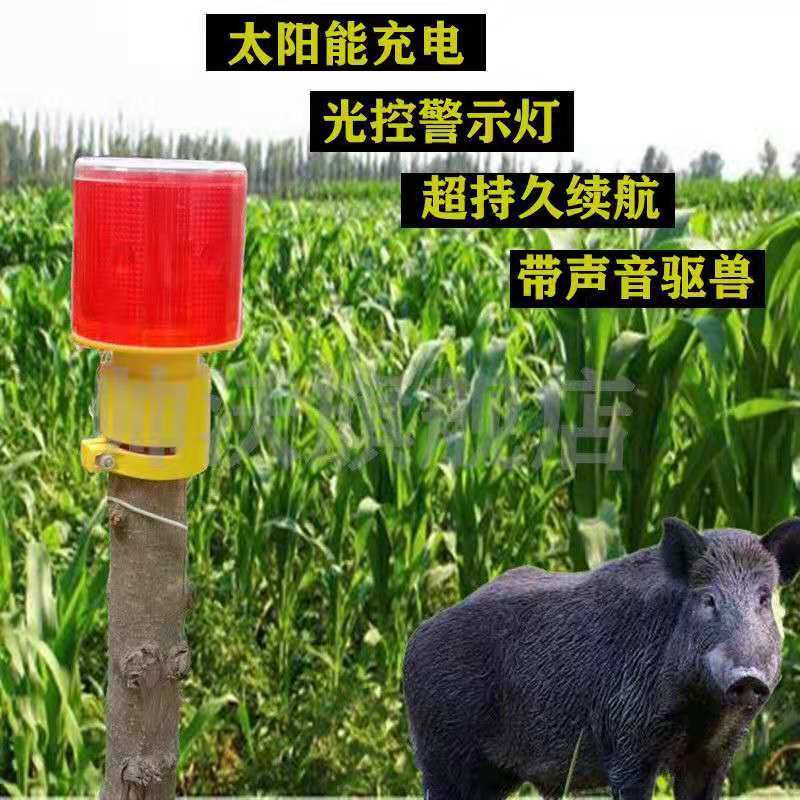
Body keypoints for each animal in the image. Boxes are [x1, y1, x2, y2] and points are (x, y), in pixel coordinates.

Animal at [403, 517, 800, 800]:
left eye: (764, 598)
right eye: (708, 599)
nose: (748, 678)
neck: (704, 708)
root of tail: (412, 642)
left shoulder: (715, 754)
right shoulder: (629, 742)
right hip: (442, 757)